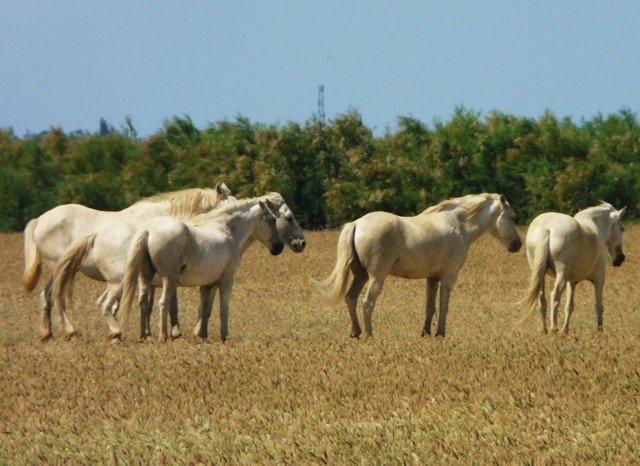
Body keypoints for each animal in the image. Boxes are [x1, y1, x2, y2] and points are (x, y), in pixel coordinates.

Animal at [24, 184, 238, 340]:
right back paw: (70, 331)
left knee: (46, 297)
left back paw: (47, 333)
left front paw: (149, 332)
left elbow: (151, 304)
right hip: (59, 269)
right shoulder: (163, 275)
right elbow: (166, 303)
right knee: (56, 296)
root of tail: (40, 219)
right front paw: (172, 333)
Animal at [115, 194, 284, 342]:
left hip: (145, 277)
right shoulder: (227, 280)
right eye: (272, 220)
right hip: (167, 279)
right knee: (163, 303)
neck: (226, 230)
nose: (279, 247)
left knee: (143, 303)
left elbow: (205, 309)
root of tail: (149, 230)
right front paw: (224, 336)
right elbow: (224, 308)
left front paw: (201, 336)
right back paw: (163, 337)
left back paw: (143, 336)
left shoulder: (207, 284)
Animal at [314, 194, 520, 338]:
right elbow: (444, 306)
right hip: (375, 278)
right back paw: (369, 335)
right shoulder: (449, 276)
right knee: (367, 303)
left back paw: (355, 333)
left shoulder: (432, 278)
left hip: (361, 275)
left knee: (351, 298)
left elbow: (430, 307)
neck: (459, 225)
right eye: (512, 217)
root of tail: (356, 223)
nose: (517, 245)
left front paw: (425, 333)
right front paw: (440, 334)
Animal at [520, 202, 624, 334]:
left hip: (540, 274)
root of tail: (547, 228)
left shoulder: (572, 281)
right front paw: (600, 330)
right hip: (561, 274)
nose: (621, 258)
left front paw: (565, 330)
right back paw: (553, 327)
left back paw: (544, 330)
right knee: (555, 295)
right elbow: (598, 306)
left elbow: (569, 306)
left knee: (541, 299)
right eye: (622, 228)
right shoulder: (599, 279)